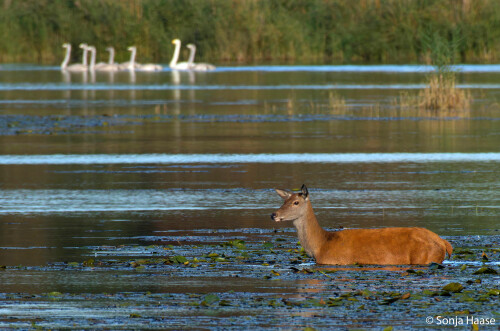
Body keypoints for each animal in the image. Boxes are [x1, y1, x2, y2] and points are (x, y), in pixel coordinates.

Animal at [272, 185, 452, 266]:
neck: (321, 245)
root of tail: (444, 243)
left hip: (425, 257)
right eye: (284, 200)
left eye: (295, 202)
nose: (274, 214)